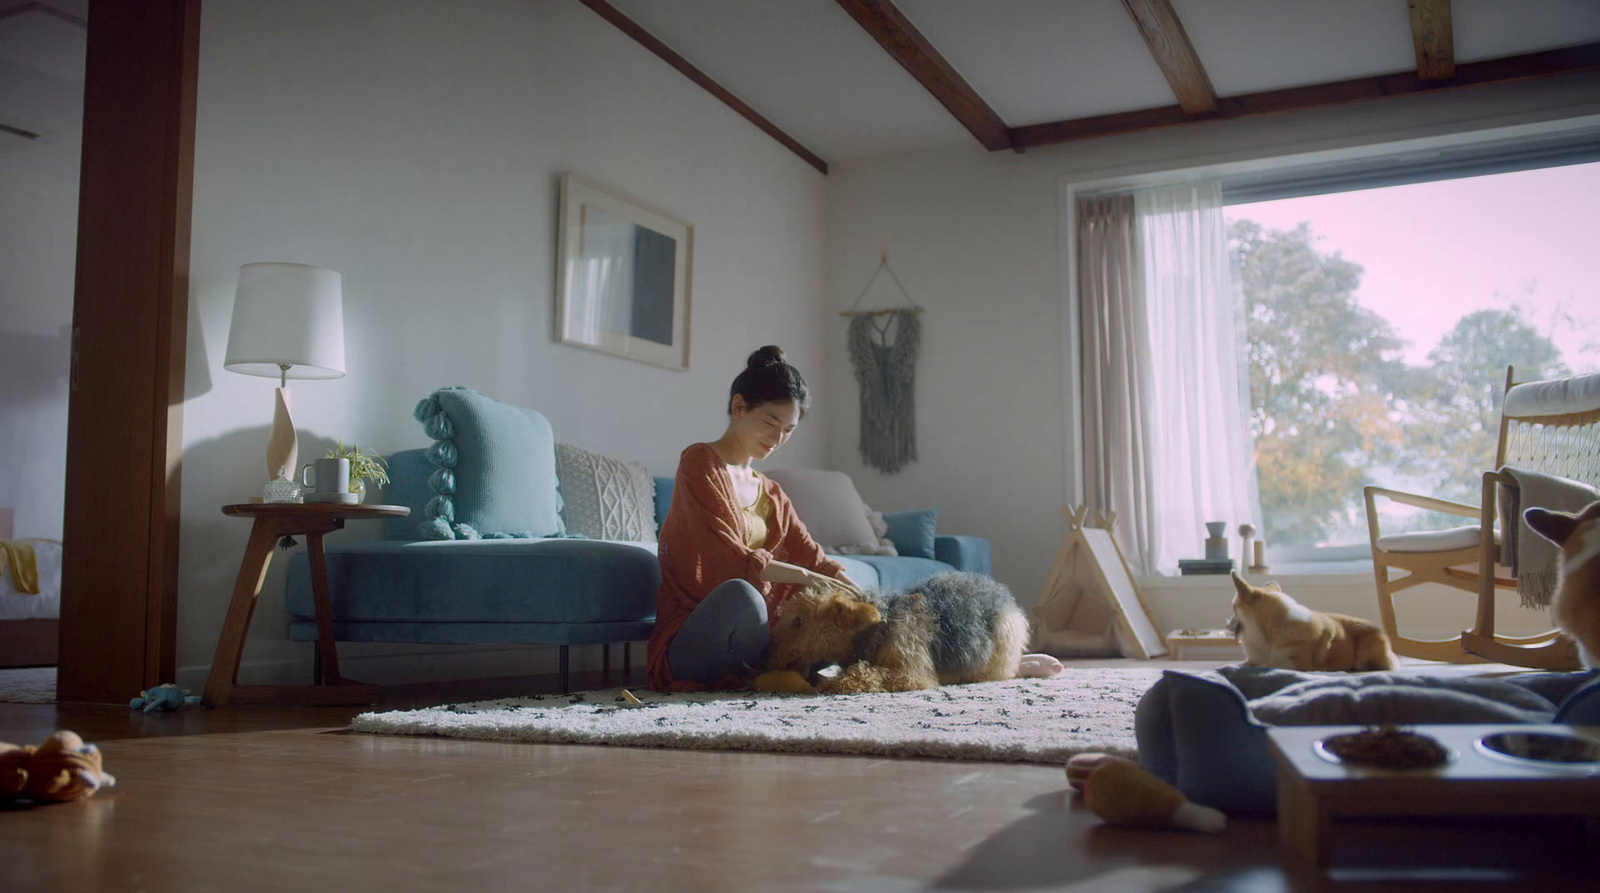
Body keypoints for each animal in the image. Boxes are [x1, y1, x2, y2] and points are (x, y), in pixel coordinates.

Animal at [768, 572, 1030, 700]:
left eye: (798, 621)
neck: (876, 630)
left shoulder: (911, 673)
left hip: (1002, 643)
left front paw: (832, 683)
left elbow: (864, 673)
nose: (768, 653)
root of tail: (1000, 592)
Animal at [1228, 572, 1395, 672]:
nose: (1227, 624)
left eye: (1233, 608)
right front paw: (1234, 667)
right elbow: (1242, 664)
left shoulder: (1292, 663)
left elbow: (1264, 666)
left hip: (1365, 645)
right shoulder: (1253, 659)